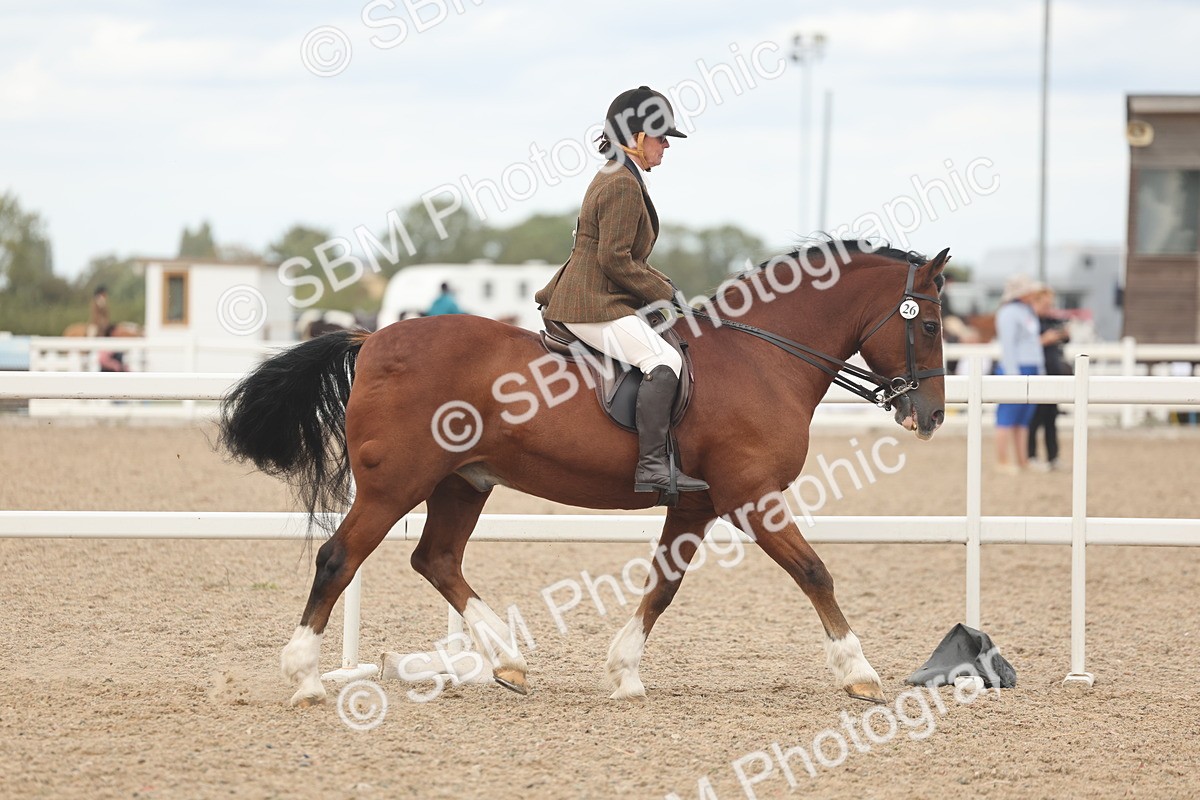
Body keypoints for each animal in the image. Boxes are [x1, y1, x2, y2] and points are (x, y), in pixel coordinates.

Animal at [219, 240, 949, 707]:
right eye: (932, 325)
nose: (932, 416)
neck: (761, 358)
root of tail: (372, 338)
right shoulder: (750, 496)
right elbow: (814, 571)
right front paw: (859, 672)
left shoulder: (697, 504)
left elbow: (663, 586)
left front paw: (624, 672)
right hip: (396, 484)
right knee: (339, 558)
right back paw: (307, 678)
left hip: (463, 481)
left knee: (437, 560)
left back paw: (507, 661)